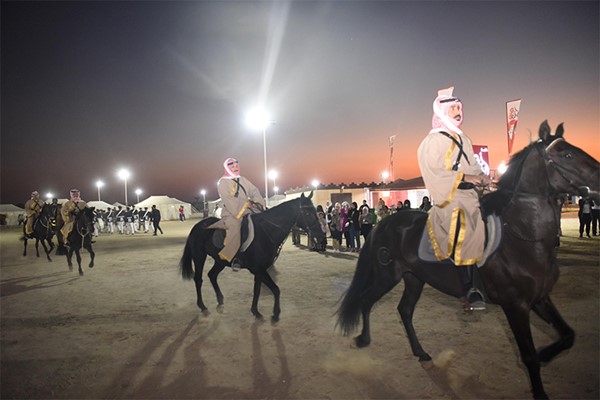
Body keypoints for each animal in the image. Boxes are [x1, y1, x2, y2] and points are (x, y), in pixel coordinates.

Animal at [180, 191, 326, 322]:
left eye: (315, 212)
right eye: (307, 213)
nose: (321, 235)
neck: (267, 231)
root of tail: (198, 226)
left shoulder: (259, 270)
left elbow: (257, 290)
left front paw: (256, 311)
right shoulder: (259, 270)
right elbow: (276, 289)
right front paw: (275, 314)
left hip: (220, 260)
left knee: (212, 275)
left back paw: (220, 301)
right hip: (199, 257)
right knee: (198, 279)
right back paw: (202, 306)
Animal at [338, 120, 600, 398]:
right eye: (566, 154)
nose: (599, 178)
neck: (524, 237)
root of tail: (384, 223)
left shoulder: (540, 298)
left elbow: (568, 335)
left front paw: (545, 354)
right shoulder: (515, 305)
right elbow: (528, 356)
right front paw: (539, 383)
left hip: (414, 278)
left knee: (405, 311)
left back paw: (422, 354)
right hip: (386, 275)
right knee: (367, 300)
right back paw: (362, 339)